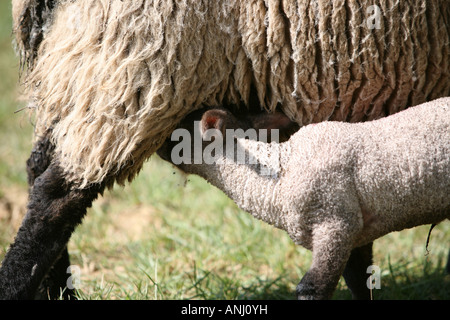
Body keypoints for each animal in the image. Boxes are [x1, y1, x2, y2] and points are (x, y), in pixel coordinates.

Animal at [157, 98, 450, 300]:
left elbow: (312, 287)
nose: (157, 145)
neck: (278, 175)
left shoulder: (335, 221)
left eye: (178, 130)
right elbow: (359, 282)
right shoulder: (355, 231)